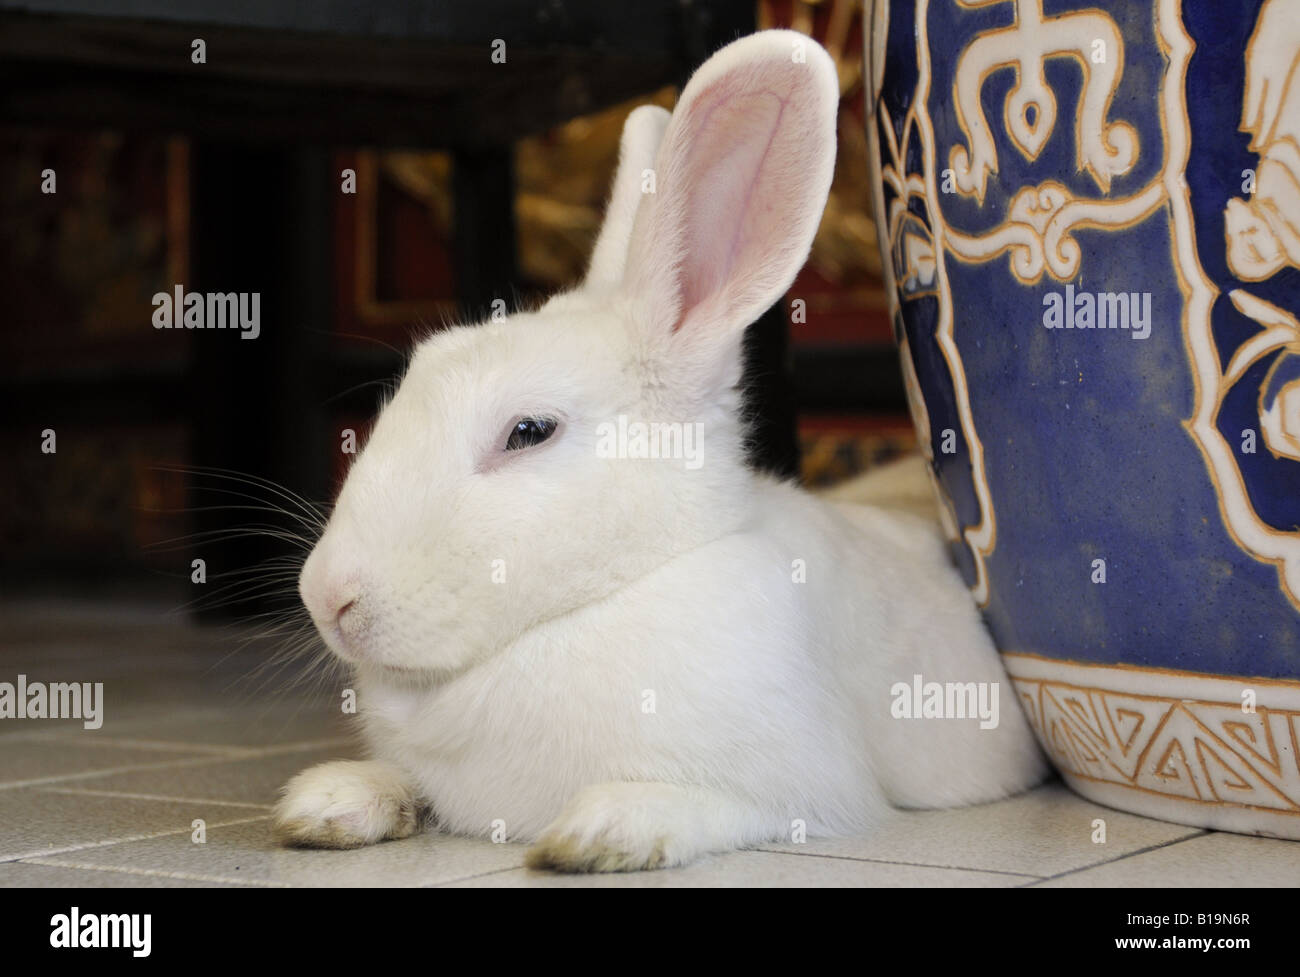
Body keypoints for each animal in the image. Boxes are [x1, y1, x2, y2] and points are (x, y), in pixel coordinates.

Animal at [273, 29, 1048, 872]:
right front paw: (329, 799)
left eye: (529, 431)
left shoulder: (811, 790)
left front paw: (604, 828)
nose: (327, 596)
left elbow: (723, 805)